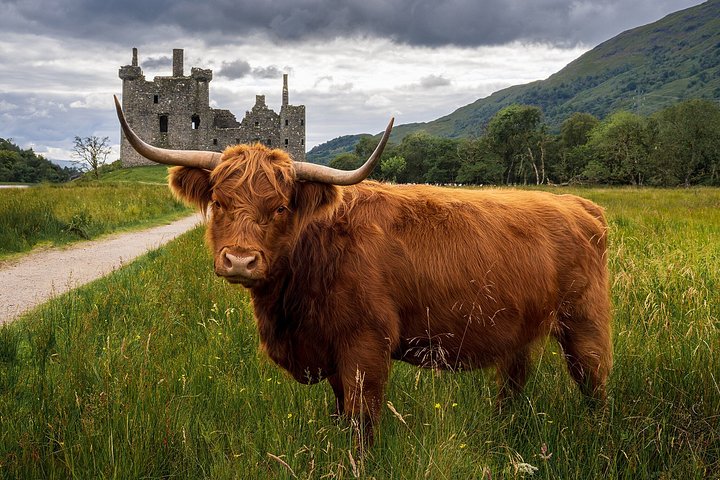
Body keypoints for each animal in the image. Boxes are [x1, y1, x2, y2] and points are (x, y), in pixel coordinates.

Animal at [114, 96, 612, 446]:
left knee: (595, 385)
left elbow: (361, 426)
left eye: (280, 207)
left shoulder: (365, 349)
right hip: (518, 337)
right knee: (512, 388)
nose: (239, 260)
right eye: (218, 202)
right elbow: (341, 419)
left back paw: (598, 440)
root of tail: (580, 205)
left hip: (584, 325)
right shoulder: (332, 355)